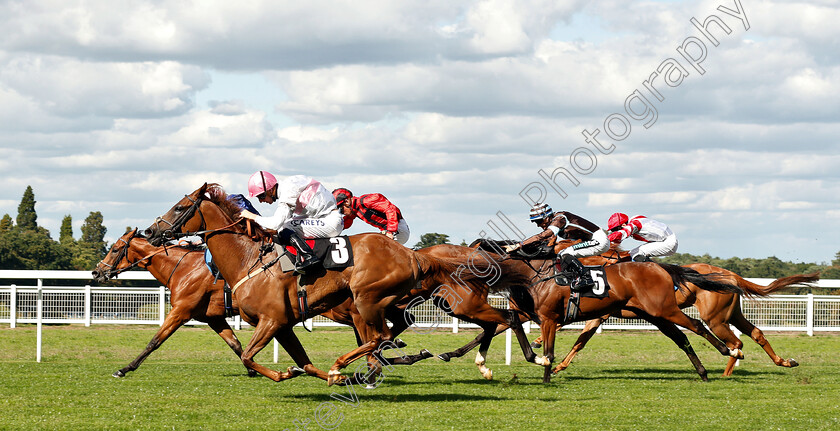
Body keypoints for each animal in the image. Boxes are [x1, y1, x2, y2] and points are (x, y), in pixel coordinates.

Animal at [92, 230, 256, 378]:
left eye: (115, 249)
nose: (96, 272)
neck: (185, 268)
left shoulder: (180, 312)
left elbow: (155, 341)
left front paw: (125, 369)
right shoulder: (213, 318)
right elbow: (235, 343)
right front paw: (252, 369)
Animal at [143, 184, 486, 386]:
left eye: (179, 207)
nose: (150, 231)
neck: (249, 259)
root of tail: (413, 254)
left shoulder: (271, 320)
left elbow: (247, 356)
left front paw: (289, 373)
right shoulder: (283, 325)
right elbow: (302, 363)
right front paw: (318, 376)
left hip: (366, 299)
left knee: (382, 336)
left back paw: (347, 363)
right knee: (383, 337)